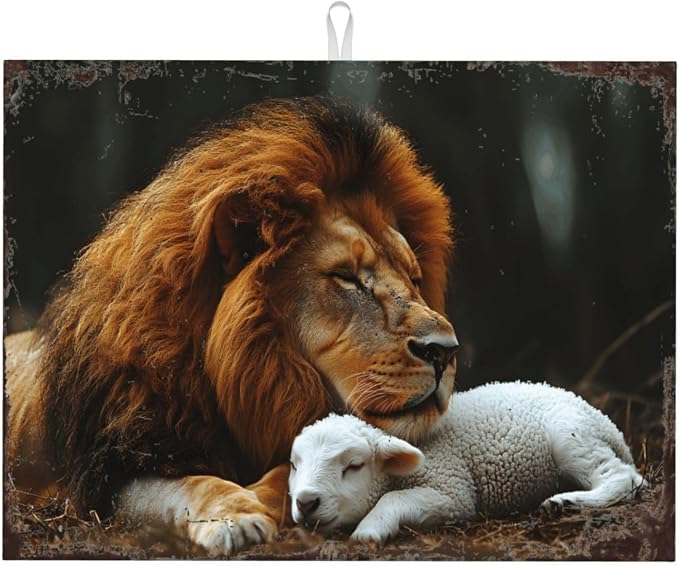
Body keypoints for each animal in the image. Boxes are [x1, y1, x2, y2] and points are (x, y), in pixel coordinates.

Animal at [5, 96, 458, 555]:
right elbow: (192, 485)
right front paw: (235, 515)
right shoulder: (114, 472)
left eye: (414, 277)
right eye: (347, 277)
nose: (445, 350)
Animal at [288, 381, 646, 544]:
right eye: (294, 466)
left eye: (353, 466)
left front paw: (369, 531)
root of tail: (609, 425)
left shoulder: (452, 491)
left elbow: (394, 499)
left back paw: (567, 503)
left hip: (571, 434)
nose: (306, 502)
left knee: (624, 477)